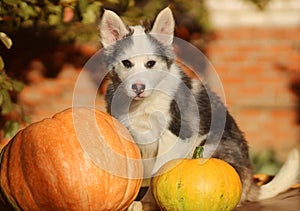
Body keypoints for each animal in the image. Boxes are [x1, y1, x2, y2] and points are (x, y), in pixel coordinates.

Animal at [99, 7, 300, 210]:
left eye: (151, 64)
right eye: (126, 63)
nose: (138, 88)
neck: (141, 104)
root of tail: (250, 181)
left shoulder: (172, 134)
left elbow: (158, 172)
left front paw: (147, 203)